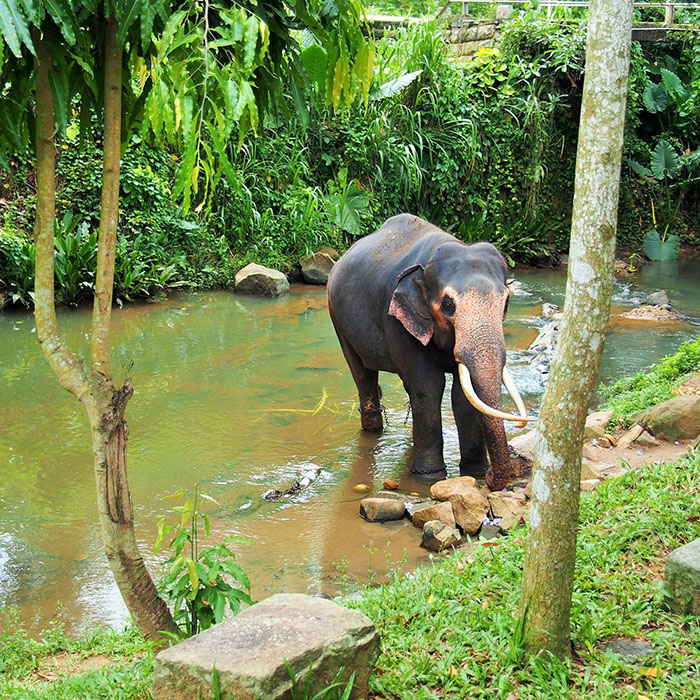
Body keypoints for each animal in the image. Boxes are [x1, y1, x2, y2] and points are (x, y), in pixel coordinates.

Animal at [326, 213, 532, 492]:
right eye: (448, 304)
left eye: (506, 302)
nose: (490, 479)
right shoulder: (397, 319)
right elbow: (429, 386)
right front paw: (429, 476)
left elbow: (461, 395)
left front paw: (474, 471)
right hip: (337, 319)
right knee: (363, 376)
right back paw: (373, 431)